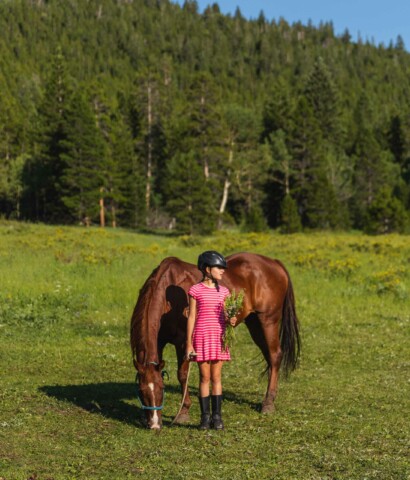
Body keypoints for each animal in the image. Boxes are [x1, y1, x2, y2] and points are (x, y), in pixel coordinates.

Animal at [131, 253, 302, 430]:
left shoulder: (183, 343)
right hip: (254, 323)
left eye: (161, 389)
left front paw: (183, 412)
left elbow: (182, 375)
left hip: (268, 321)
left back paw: (268, 403)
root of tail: (275, 263)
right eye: (141, 391)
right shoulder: (159, 342)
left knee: (275, 356)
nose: (154, 425)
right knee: (270, 356)